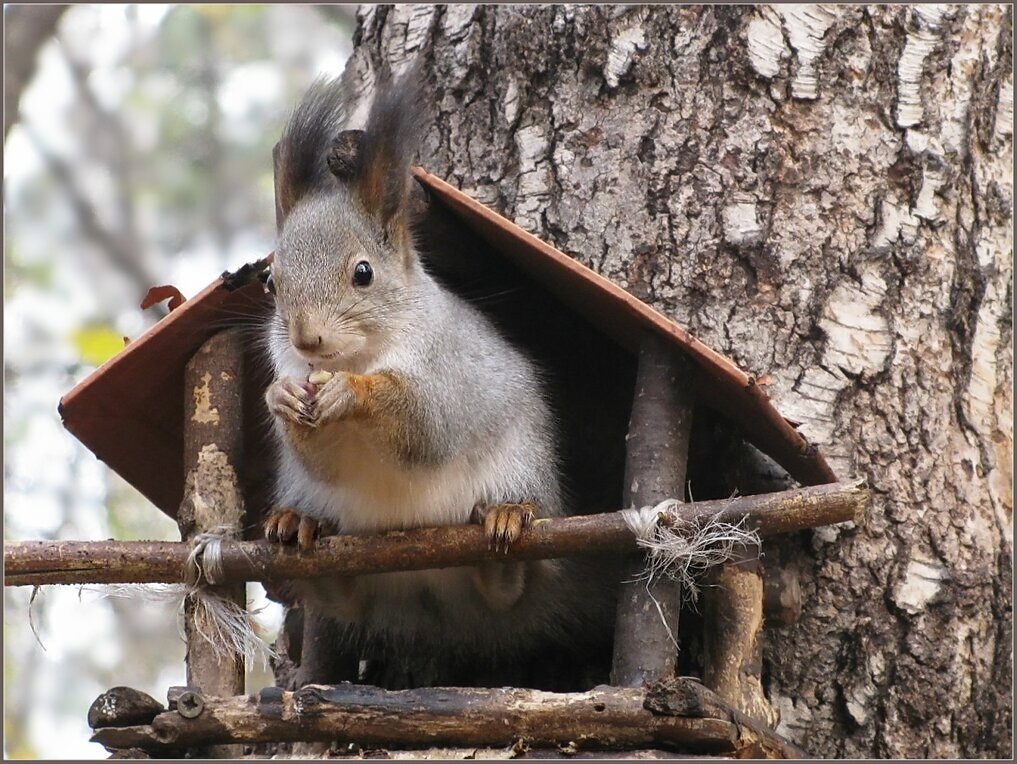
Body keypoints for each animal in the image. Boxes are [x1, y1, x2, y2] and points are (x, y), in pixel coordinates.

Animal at [258, 65, 614, 687]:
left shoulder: (446, 373)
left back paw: (504, 520)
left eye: (363, 274)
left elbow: (424, 427)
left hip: (522, 477)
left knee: (510, 588)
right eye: (272, 282)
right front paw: (280, 397)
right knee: (342, 594)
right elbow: (318, 456)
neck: (357, 357)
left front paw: (353, 394)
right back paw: (298, 526)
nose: (305, 340)